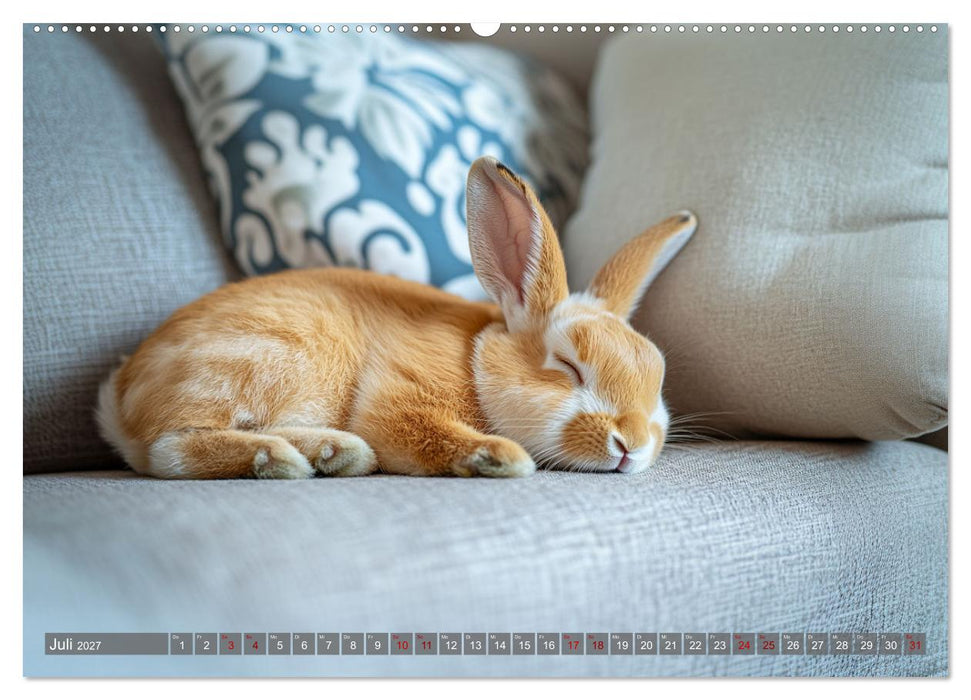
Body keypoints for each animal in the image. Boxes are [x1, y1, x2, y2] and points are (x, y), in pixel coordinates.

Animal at [96, 157, 696, 479]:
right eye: (568, 367)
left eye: (658, 379)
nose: (631, 444)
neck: (473, 361)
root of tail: (118, 399)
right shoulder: (400, 393)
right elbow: (419, 430)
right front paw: (499, 457)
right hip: (267, 357)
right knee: (168, 450)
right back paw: (280, 459)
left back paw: (334, 453)